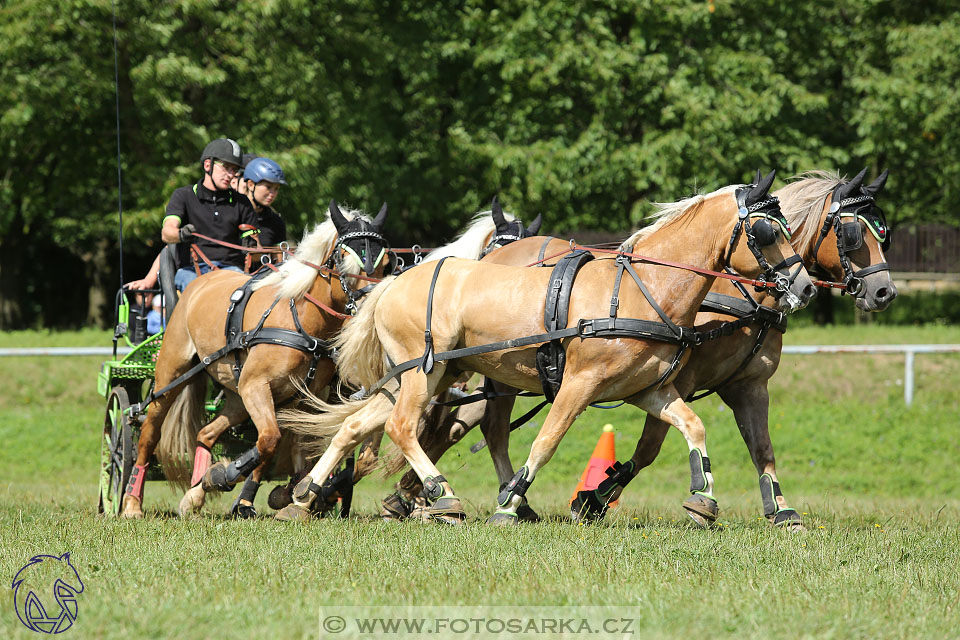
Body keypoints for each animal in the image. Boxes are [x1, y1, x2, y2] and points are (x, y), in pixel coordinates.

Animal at [120, 202, 390, 516]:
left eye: (386, 262)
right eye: (344, 260)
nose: (374, 307)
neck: (301, 320)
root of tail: (200, 281)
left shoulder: (295, 398)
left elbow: (286, 445)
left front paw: (285, 493)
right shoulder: (256, 385)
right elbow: (270, 440)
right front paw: (221, 475)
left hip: (237, 394)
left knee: (206, 434)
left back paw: (194, 494)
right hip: (172, 375)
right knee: (149, 433)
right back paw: (132, 501)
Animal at [278, 172, 816, 524]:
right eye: (767, 230)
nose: (806, 287)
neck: (640, 289)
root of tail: (392, 282)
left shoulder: (651, 391)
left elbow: (694, 426)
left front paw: (703, 499)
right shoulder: (578, 384)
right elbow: (546, 441)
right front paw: (511, 503)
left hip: (419, 376)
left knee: (355, 426)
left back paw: (304, 498)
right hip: (424, 373)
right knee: (403, 428)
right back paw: (442, 496)